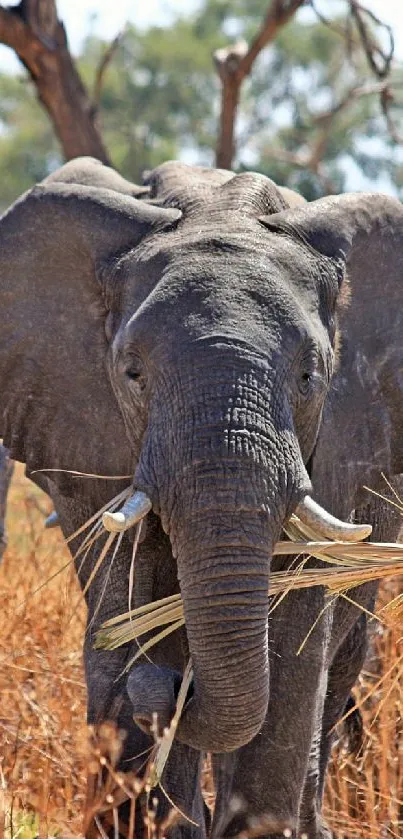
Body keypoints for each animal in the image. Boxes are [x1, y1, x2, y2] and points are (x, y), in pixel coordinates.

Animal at [0, 154, 403, 836]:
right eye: (132, 373)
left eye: (309, 375)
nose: (168, 687)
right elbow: (127, 601)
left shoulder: (341, 437)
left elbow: (294, 647)